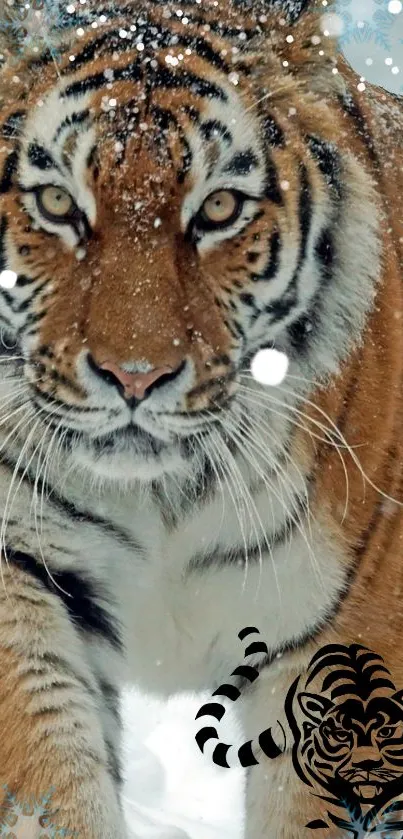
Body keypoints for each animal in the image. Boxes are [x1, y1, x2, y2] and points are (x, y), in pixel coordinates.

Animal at [0, 0, 402, 836]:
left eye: (217, 208)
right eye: (56, 203)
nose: (134, 376)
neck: (162, 497)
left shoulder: (352, 626)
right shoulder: (20, 565)